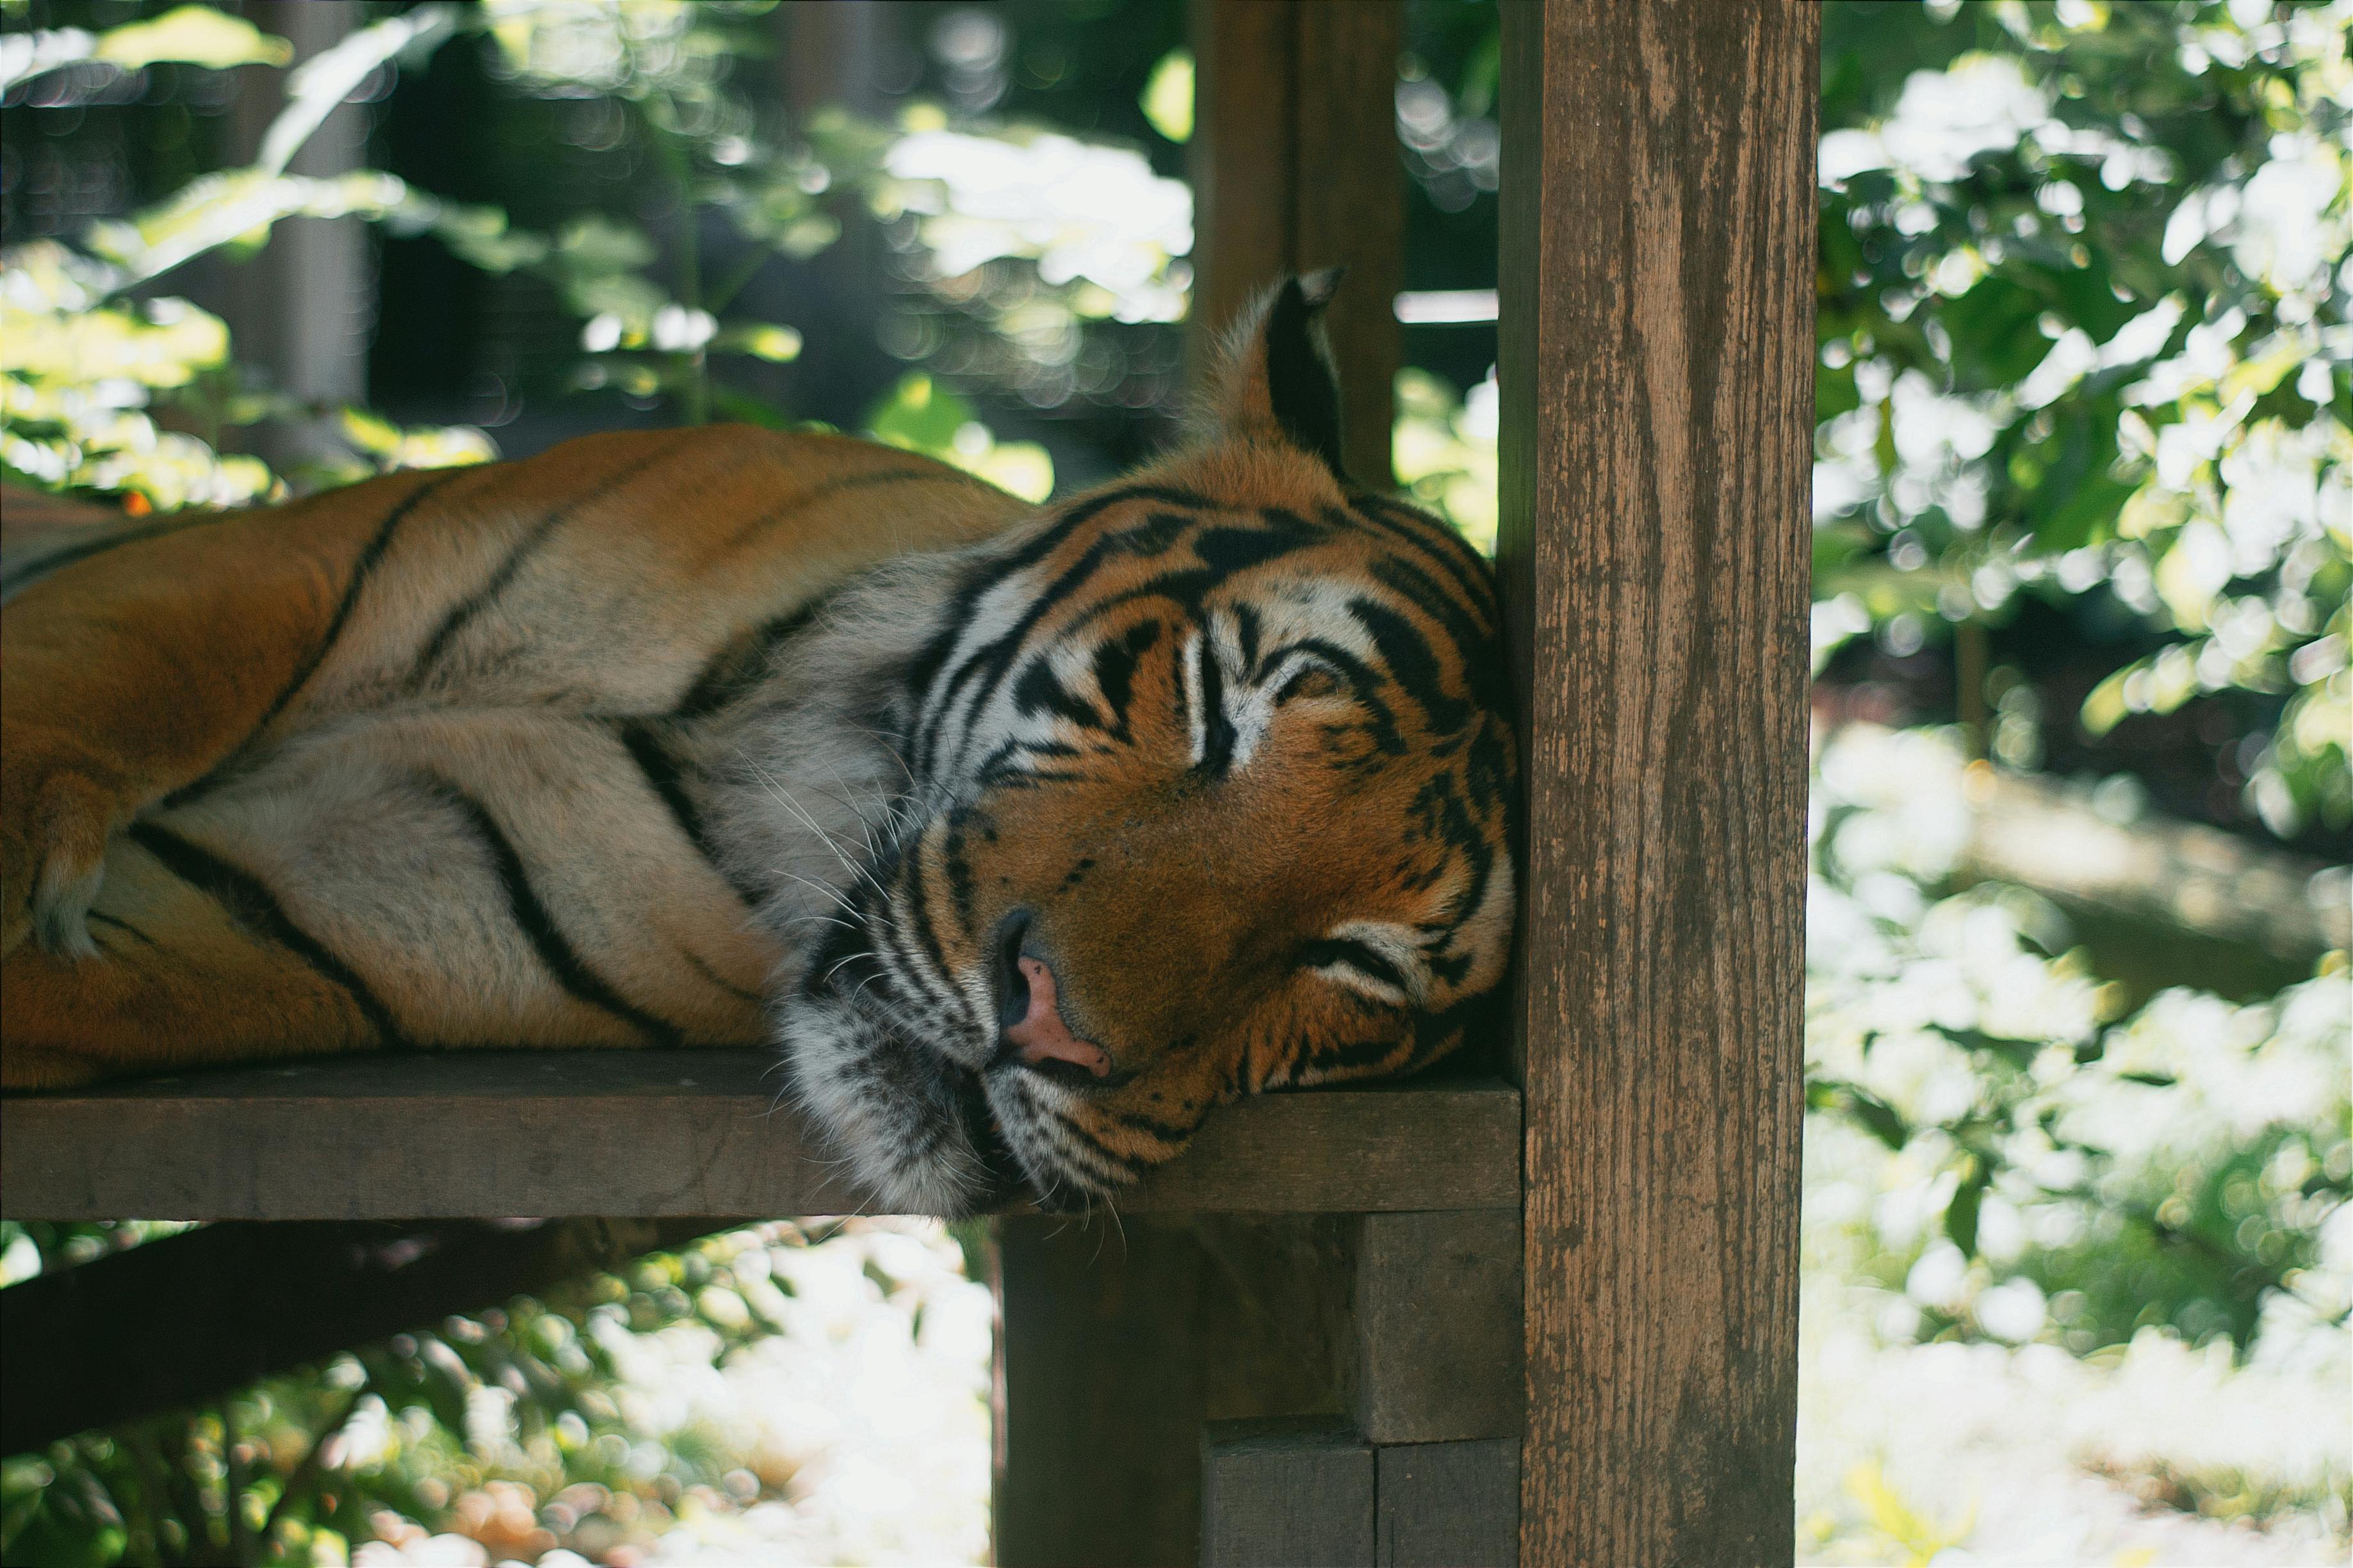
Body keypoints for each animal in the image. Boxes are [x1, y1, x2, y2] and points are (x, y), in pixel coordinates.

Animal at [0, 274, 1518, 1215]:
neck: (745, 757)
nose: (1046, 1030)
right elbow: (121, 665)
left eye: (1352, 962)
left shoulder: (281, 903)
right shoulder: (288, 553)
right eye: (1220, 708)